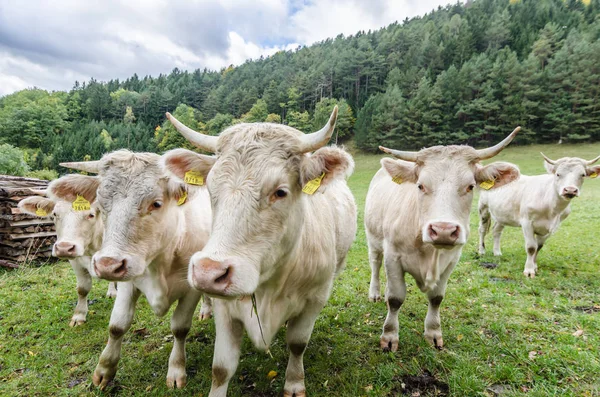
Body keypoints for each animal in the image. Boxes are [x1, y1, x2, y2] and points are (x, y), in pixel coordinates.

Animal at [17, 175, 116, 326]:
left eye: (91, 215)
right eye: (54, 214)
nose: (64, 248)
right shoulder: (75, 262)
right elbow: (82, 289)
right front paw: (79, 316)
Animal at [60, 150, 213, 388]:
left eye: (156, 204)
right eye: (100, 206)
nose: (107, 265)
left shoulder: (190, 289)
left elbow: (180, 328)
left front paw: (176, 370)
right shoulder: (128, 281)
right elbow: (117, 325)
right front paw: (104, 370)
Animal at [164, 105, 356, 396]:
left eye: (280, 191)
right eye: (210, 188)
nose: (209, 272)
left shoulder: (315, 298)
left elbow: (297, 344)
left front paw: (294, 383)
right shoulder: (225, 306)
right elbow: (221, 368)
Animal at [366, 128, 520, 352]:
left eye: (470, 186)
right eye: (420, 186)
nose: (443, 231)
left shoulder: (451, 260)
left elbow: (437, 298)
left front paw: (433, 333)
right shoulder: (393, 256)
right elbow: (395, 298)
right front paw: (389, 337)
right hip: (373, 240)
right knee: (375, 265)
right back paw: (375, 292)